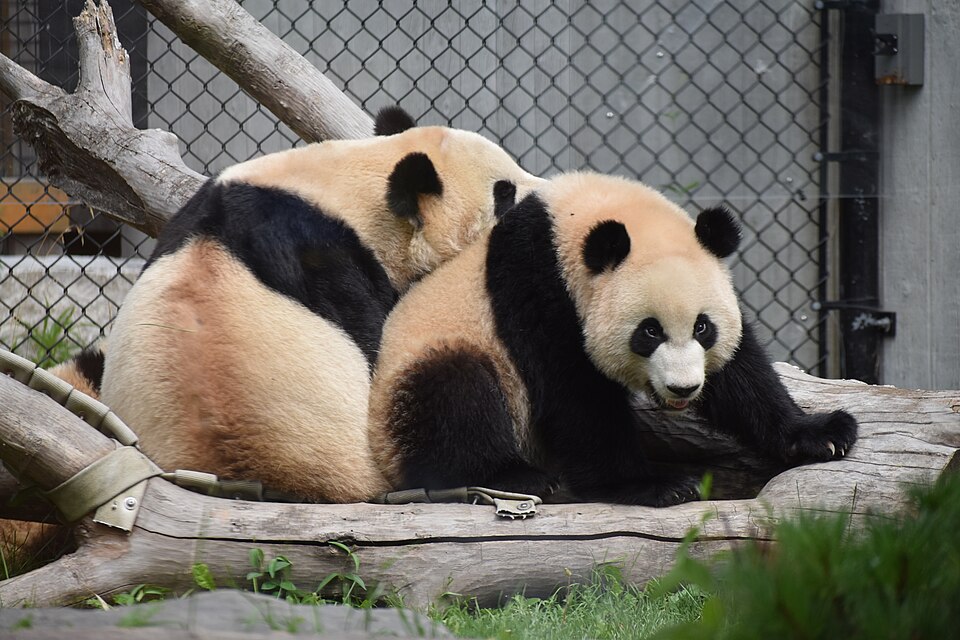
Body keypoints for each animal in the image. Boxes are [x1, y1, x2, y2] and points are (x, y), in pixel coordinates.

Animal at [368, 171, 859, 506]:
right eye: (649, 331)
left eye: (703, 328)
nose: (683, 389)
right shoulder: (538, 283)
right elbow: (574, 392)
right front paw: (651, 485)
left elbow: (741, 374)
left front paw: (821, 434)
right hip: (424, 371)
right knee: (454, 392)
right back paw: (513, 475)